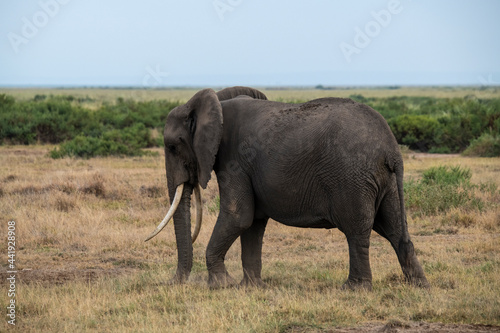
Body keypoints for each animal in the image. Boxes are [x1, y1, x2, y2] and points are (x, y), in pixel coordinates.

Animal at [146, 86, 430, 290]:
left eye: (173, 146)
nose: (171, 283)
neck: (218, 105)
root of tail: (392, 149)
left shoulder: (234, 161)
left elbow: (238, 216)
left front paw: (221, 285)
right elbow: (253, 222)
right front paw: (250, 288)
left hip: (353, 177)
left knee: (357, 230)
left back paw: (353, 289)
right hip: (385, 181)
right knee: (394, 227)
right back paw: (419, 286)